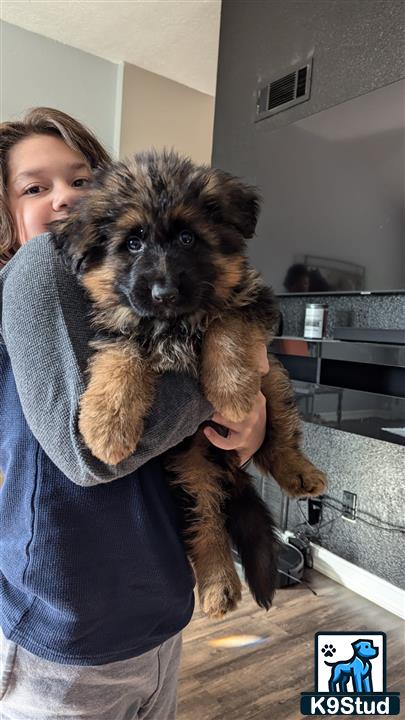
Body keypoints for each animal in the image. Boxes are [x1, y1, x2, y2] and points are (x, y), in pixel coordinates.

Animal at [52, 150, 326, 620]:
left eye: (187, 238)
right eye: (133, 243)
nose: (163, 292)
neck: (173, 323)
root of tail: (229, 467)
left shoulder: (250, 300)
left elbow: (225, 325)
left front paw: (232, 391)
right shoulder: (120, 324)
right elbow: (120, 357)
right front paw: (107, 425)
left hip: (272, 377)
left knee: (279, 436)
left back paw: (300, 474)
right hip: (190, 463)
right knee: (206, 522)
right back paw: (219, 586)